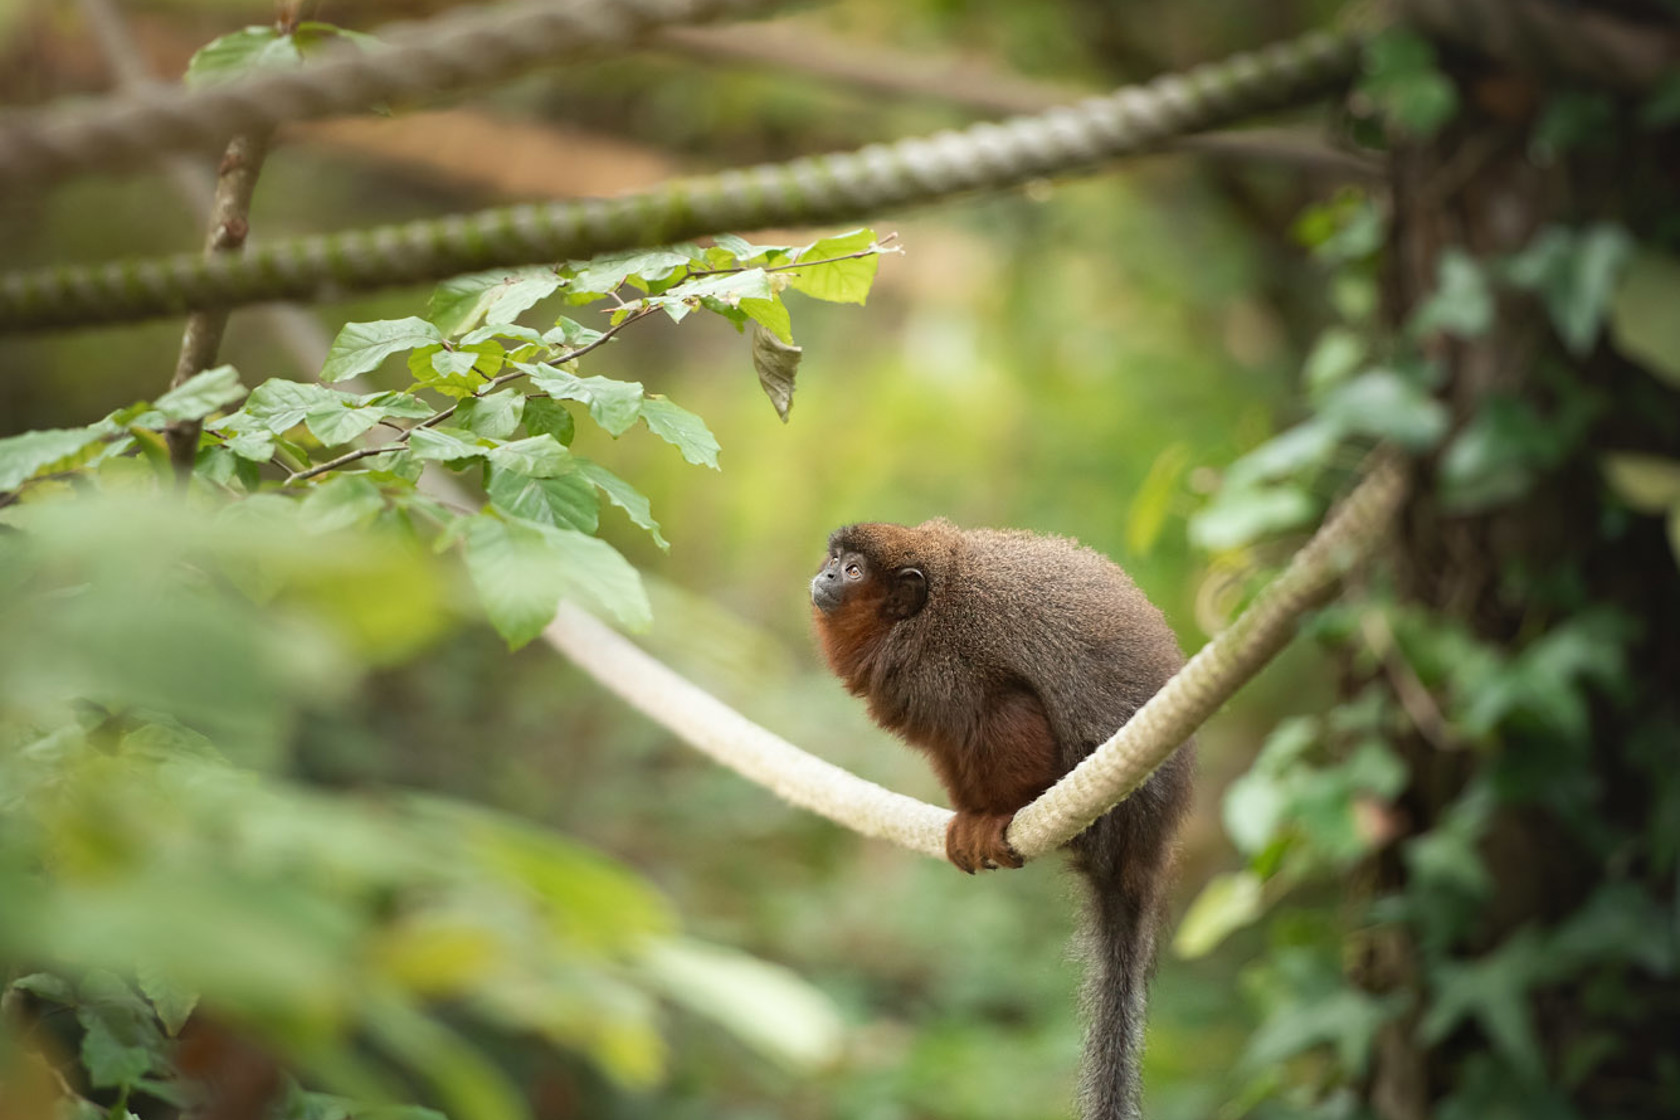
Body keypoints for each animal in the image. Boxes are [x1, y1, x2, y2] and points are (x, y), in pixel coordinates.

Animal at [809, 523, 1196, 1120]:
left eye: (853, 572)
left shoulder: (952, 663)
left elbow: (1003, 708)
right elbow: (949, 742)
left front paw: (999, 814)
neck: (921, 617)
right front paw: (972, 816)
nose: (825, 574)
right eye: (834, 560)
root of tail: (1143, 846)